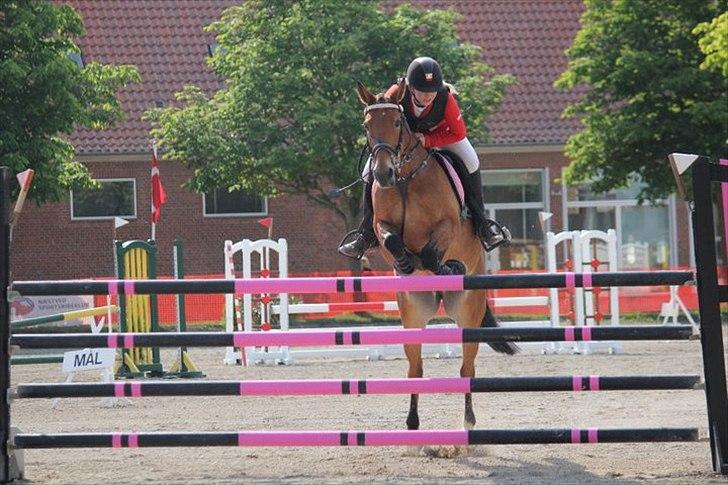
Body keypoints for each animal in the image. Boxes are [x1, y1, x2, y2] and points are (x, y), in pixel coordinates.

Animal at [356, 79, 518, 435]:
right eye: (366, 126)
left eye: (398, 123)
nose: (383, 174)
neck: (406, 178)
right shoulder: (382, 225)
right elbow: (392, 239)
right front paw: (404, 263)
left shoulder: (447, 226)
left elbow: (431, 252)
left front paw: (444, 264)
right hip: (413, 314)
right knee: (415, 370)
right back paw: (412, 422)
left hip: (468, 313)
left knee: (467, 369)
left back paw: (468, 421)